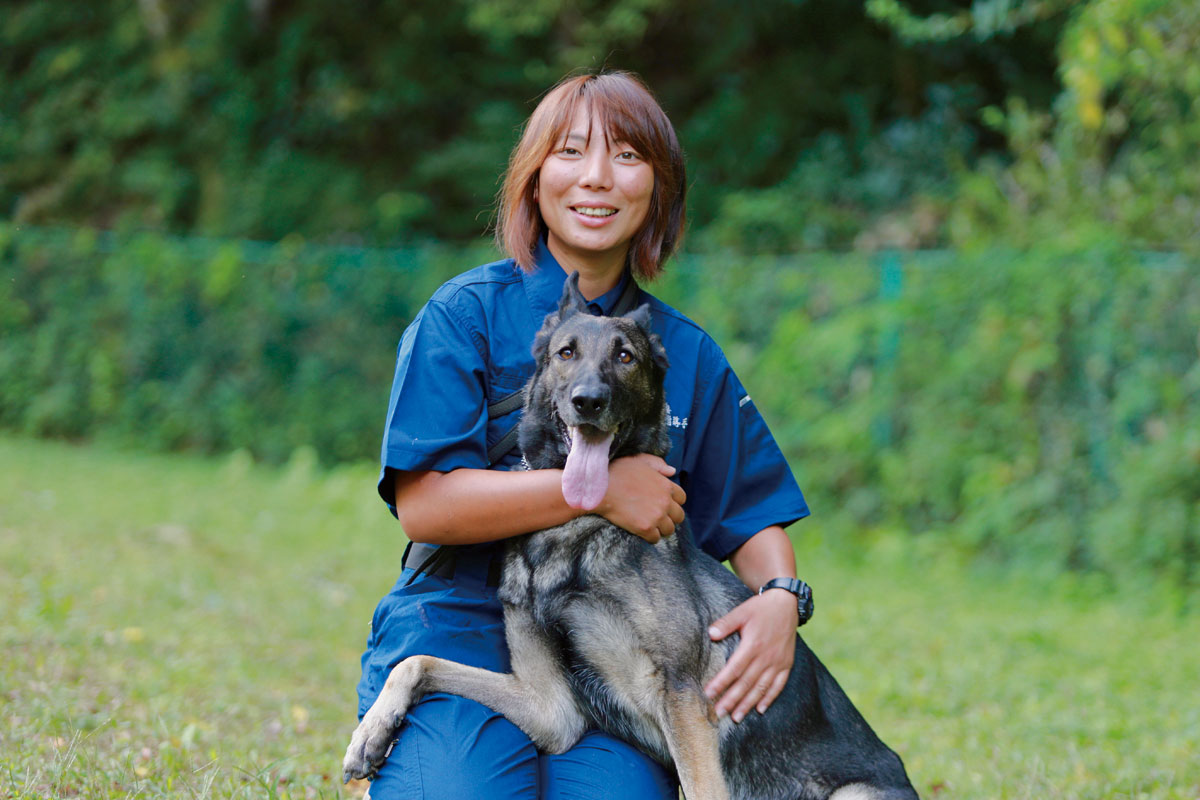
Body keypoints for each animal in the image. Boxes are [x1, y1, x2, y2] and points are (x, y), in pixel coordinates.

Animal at [343, 277, 921, 800]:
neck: (576, 531)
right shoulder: (551, 710)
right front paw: (370, 733)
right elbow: (415, 661)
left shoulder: (682, 700)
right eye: (566, 353)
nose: (588, 401)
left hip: (852, 794)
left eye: (625, 357)